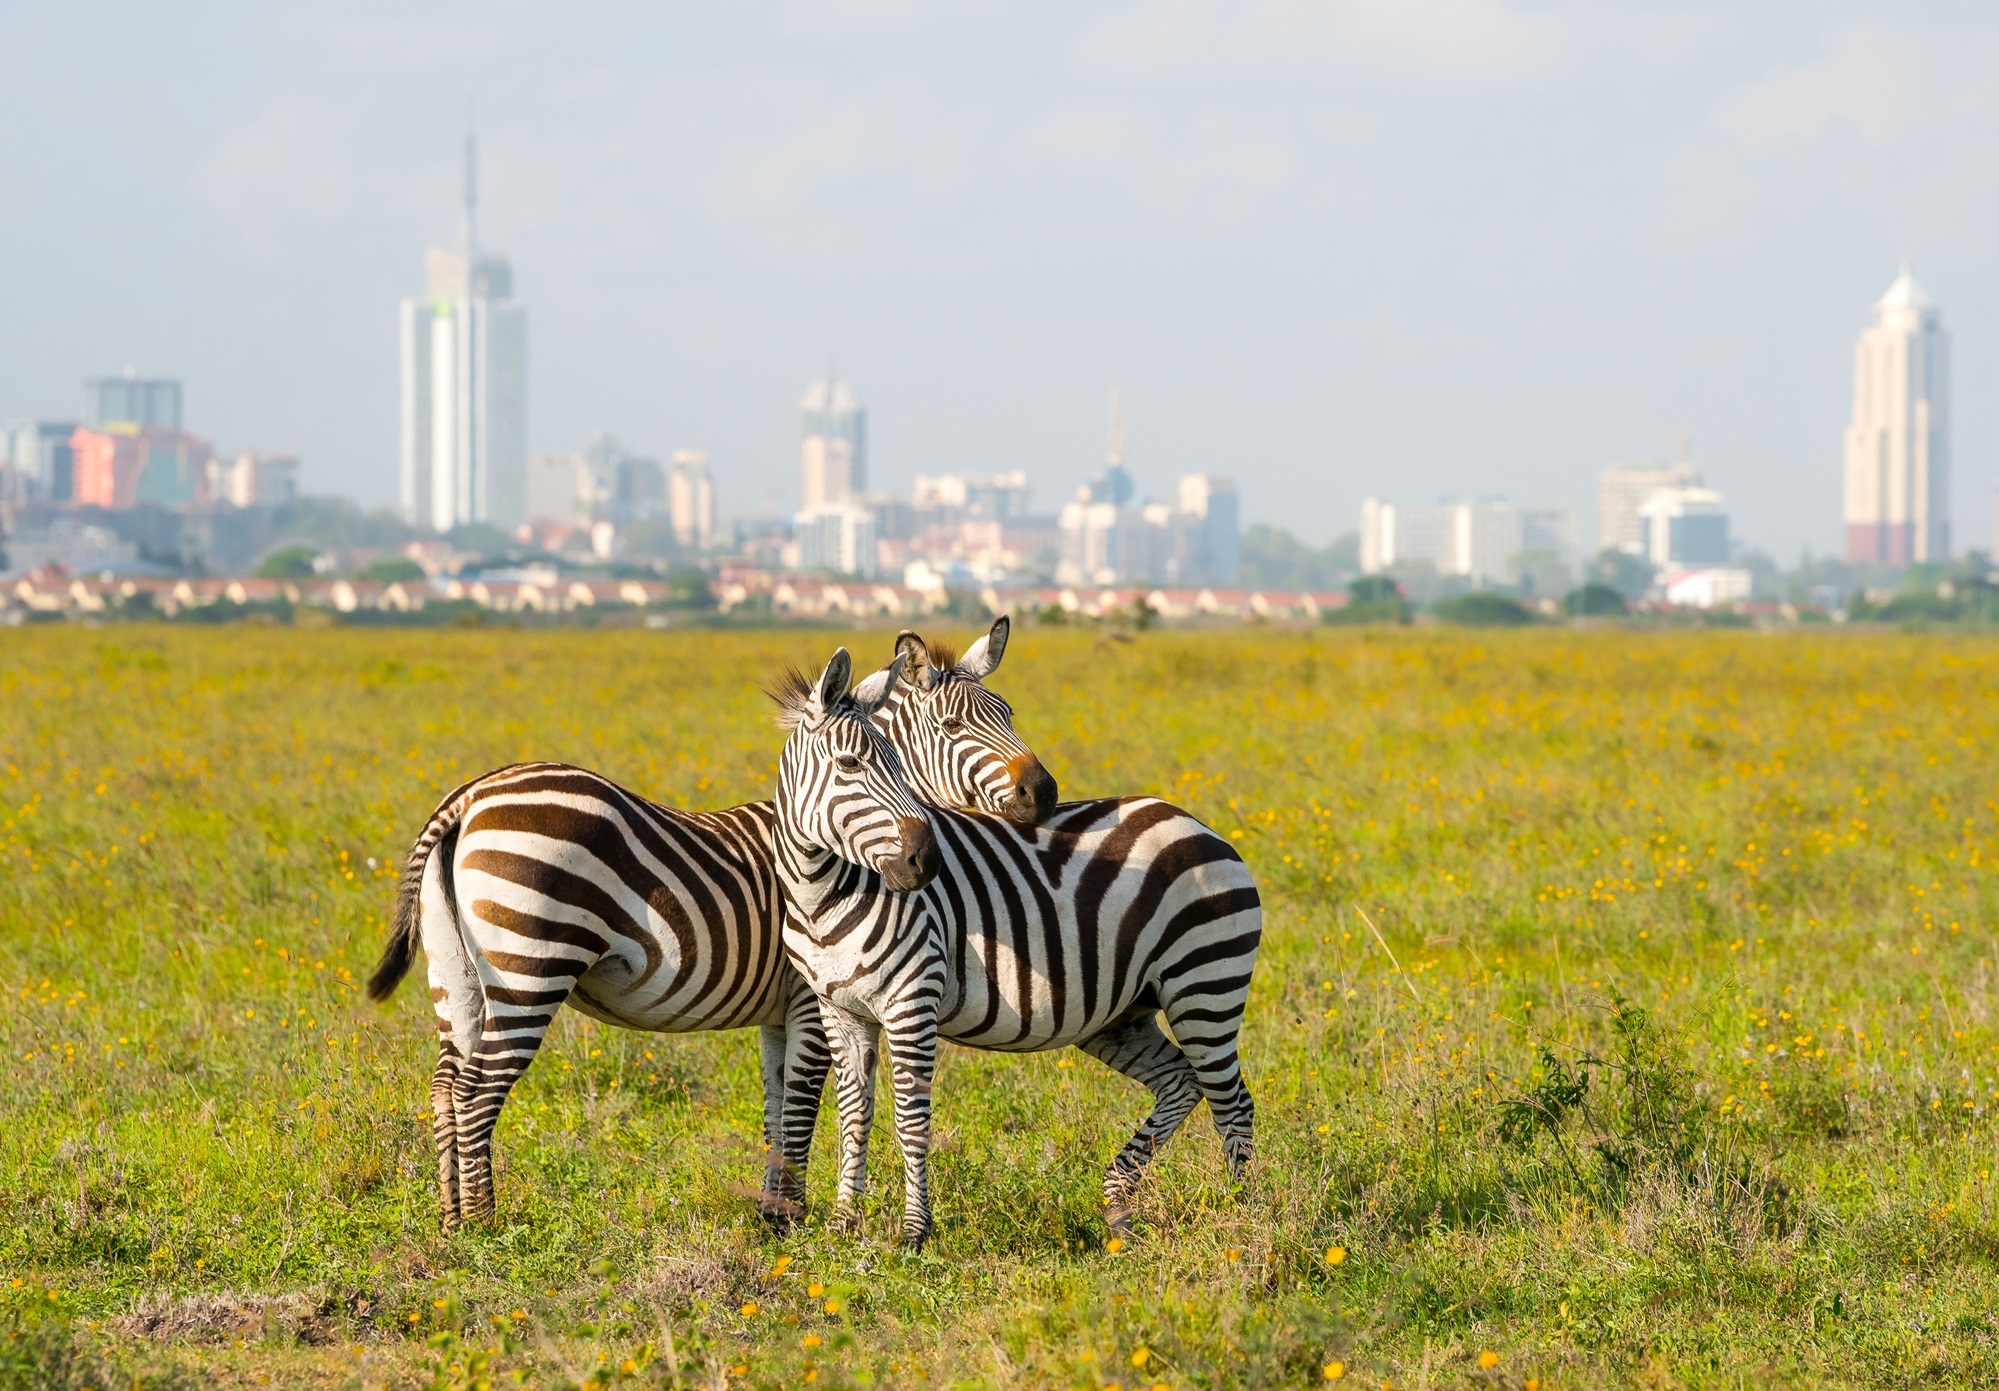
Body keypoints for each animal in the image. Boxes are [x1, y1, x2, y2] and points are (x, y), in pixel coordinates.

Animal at [363, 619, 1038, 1230]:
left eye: (1008, 713)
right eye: (953, 727)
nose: (1043, 788)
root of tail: (469, 797)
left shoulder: (778, 1012)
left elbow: (775, 1106)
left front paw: (772, 1217)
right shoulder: (809, 999)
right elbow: (800, 1107)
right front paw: (792, 1218)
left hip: (456, 973)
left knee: (446, 1084)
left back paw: (450, 1220)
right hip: (531, 967)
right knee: (478, 1089)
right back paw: (485, 1224)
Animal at [771, 648, 1262, 1250]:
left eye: (899, 767)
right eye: (849, 765)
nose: (925, 862)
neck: (823, 896)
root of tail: (1197, 823)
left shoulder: (912, 1003)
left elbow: (910, 1119)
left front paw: (913, 1233)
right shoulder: (840, 1010)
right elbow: (853, 1114)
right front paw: (844, 1226)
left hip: (1205, 985)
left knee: (1232, 1102)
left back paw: (1241, 1217)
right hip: (1122, 1015)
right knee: (1182, 1082)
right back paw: (1119, 1206)